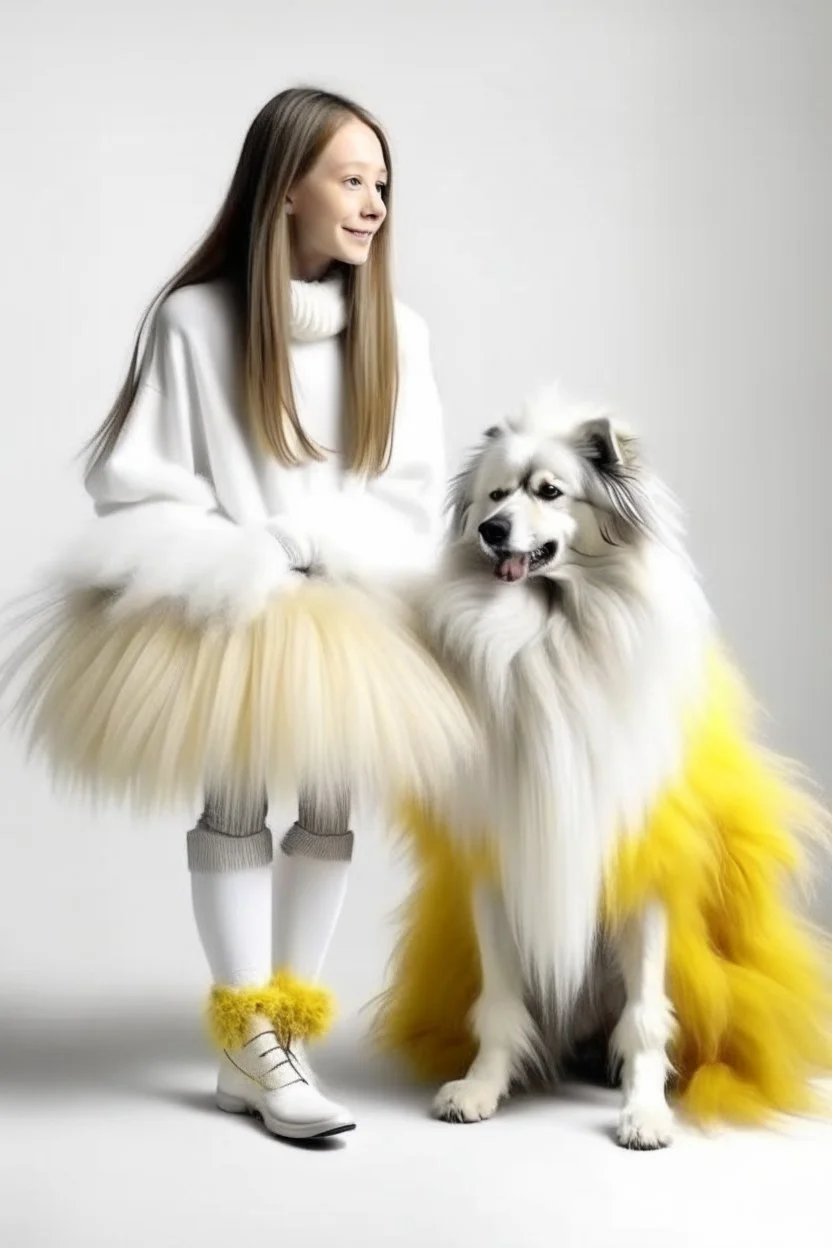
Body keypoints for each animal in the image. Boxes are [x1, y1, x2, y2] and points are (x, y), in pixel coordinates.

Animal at [379, 389, 832, 1148]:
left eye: (549, 491)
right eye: (494, 494)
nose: (493, 531)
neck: (550, 631)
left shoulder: (644, 863)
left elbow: (647, 1018)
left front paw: (644, 1110)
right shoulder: (499, 862)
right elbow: (499, 1003)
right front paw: (481, 1086)